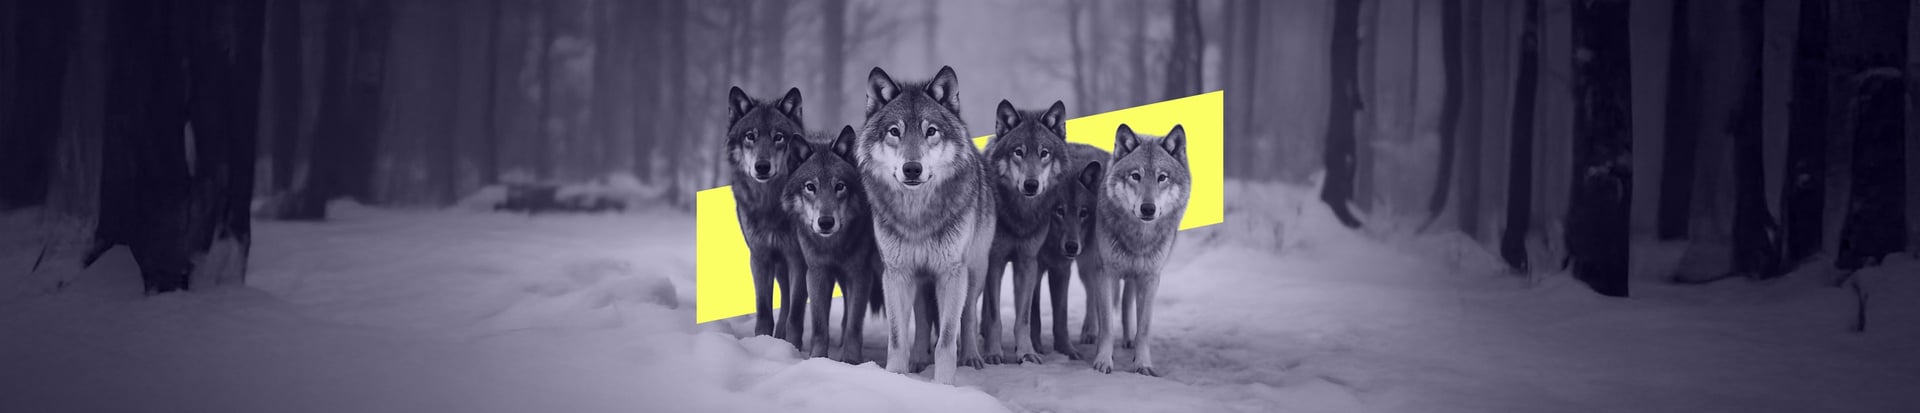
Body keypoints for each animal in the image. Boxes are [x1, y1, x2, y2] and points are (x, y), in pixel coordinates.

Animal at [726, 86, 810, 347]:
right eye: (750, 136)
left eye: (779, 137)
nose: (762, 166)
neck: (772, 205)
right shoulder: (760, 257)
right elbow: (764, 310)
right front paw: (763, 343)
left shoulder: (799, 260)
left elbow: (796, 313)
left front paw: (793, 349)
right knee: (784, 299)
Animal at [785, 126, 885, 363]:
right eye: (810, 187)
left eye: (840, 186)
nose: (825, 222)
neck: (834, 245)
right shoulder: (817, 273)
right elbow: (820, 325)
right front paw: (818, 359)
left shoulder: (860, 274)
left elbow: (854, 324)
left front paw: (850, 360)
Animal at [856, 66, 996, 384]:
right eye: (894, 131)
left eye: (930, 131)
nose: (912, 168)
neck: (917, 215)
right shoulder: (896, 274)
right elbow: (898, 337)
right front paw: (896, 377)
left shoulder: (951, 273)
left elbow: (946, 339)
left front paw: (944, 386)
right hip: (920, 279)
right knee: (921, 319)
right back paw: (919, 359)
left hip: (975, 270)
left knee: (968, 316)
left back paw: (972, 356)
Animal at [979, 100, 1070, 365]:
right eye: (1018, 152)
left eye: (1044, 153)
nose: (1031, 184)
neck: (1020, 215)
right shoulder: (995, 261)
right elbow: (995, 315)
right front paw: (993, 353)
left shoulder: (1028, 263)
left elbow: (1024, 318)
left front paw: (1027, 353)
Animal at [1089, 124, 1189, 377]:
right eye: (1136, 176)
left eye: (1162, 178)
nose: (1148, 208)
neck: (1138, 238)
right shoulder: (1106, 273)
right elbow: (1107, 323)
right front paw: (1103, 360)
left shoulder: (1149, 277)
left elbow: (1143, 328)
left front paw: (1143, 364)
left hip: (1133, 276)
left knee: (1126, 302)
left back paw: (1128, 341)